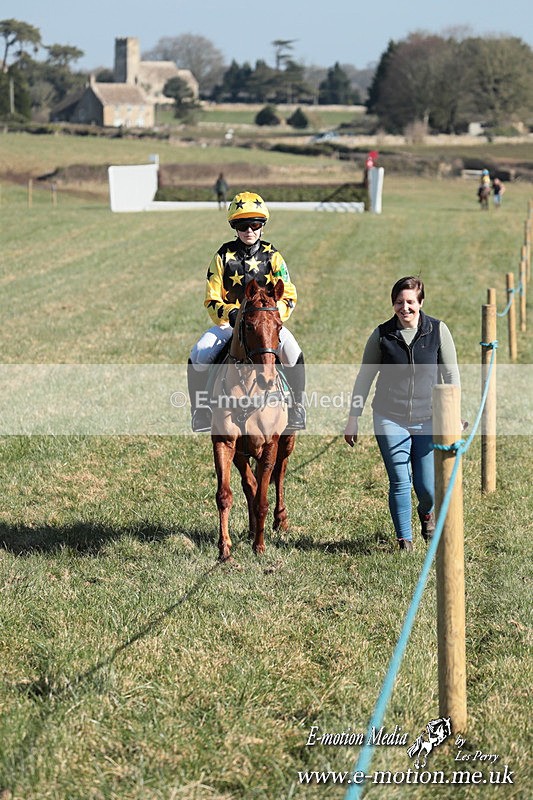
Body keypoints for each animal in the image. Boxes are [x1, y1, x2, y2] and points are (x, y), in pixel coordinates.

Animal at [210, 278, 296, 563]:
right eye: (248, 326)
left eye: (278, 325)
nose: (267, 379)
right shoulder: (224, 443)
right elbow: (226, 495)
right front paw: (224, 549)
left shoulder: (270, 444)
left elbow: (262, 499)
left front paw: (260, 546)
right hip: (242, 452)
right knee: (251, 483)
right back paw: (249, 531)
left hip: (287, 442)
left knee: (279, 474)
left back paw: (279, 521)